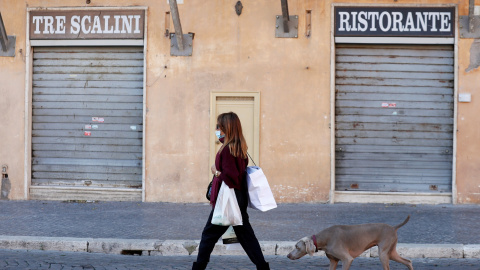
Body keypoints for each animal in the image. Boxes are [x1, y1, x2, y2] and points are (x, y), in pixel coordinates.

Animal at [286, 215, 414, 270]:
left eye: (297, 247)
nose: (288, 255)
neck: (324, 239)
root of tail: (393, 228)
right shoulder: (333, 261)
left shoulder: (347, 259)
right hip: (390, 252)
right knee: (408, 261)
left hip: (383, 253)